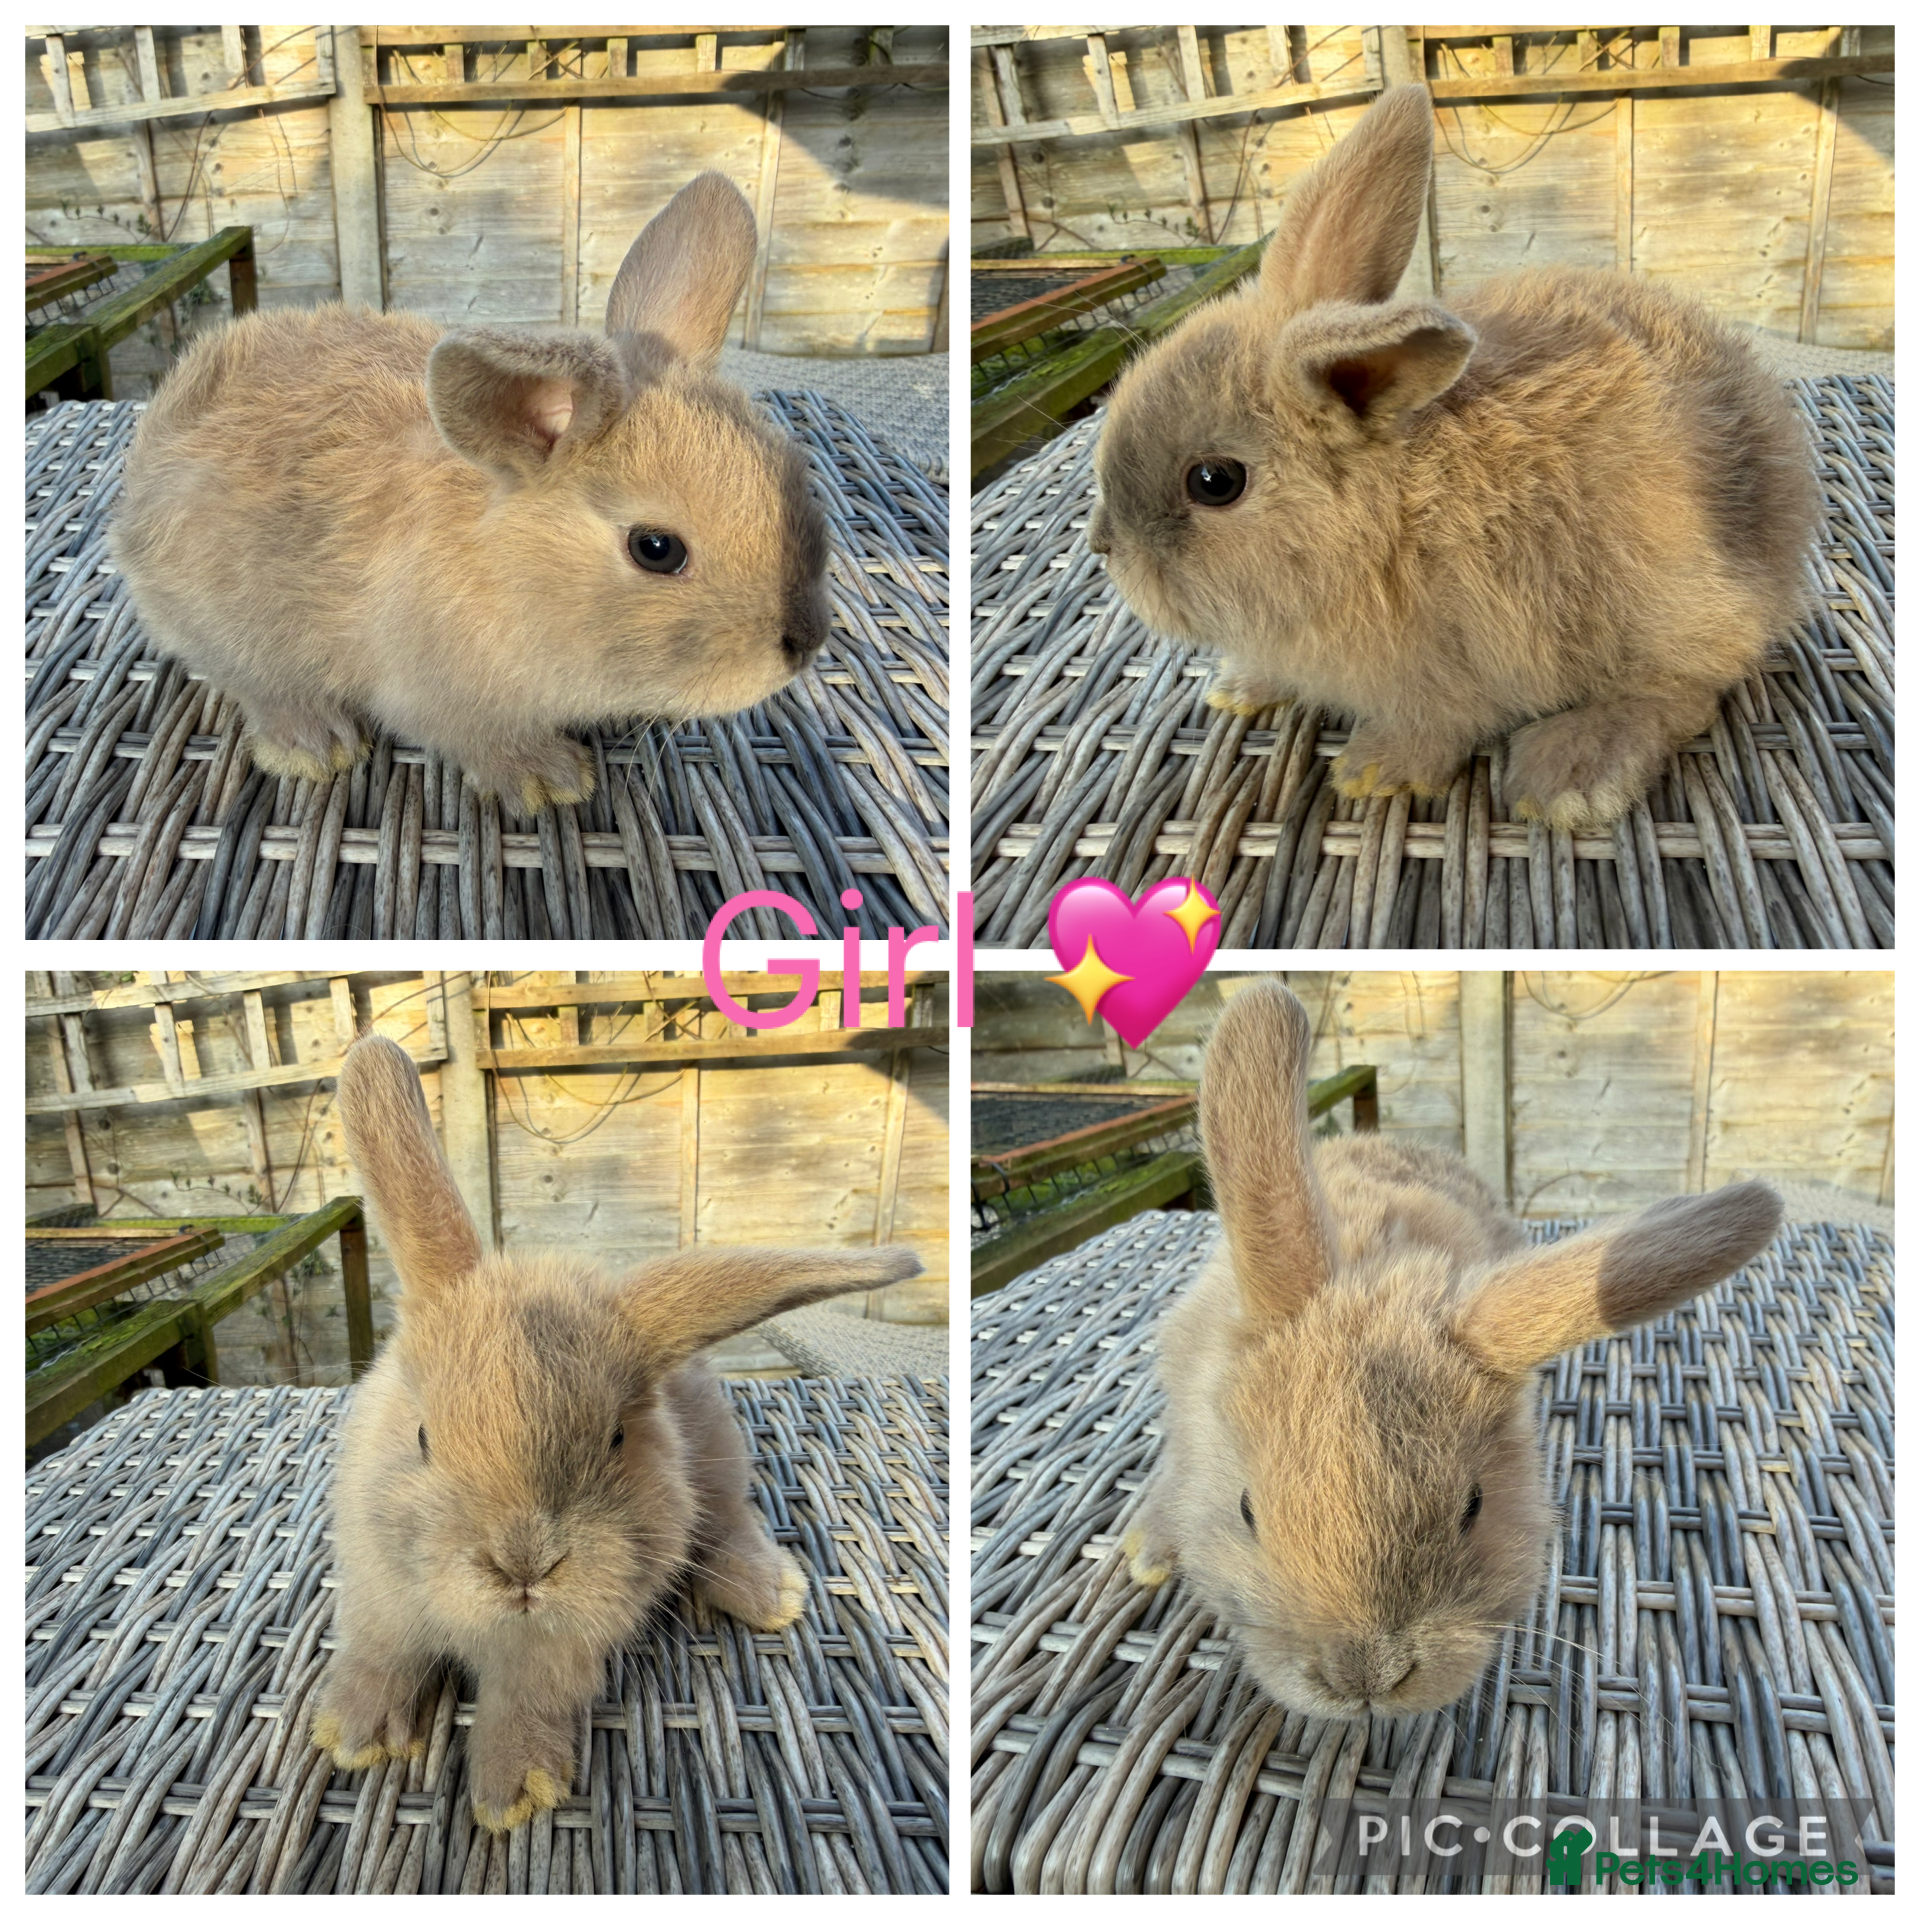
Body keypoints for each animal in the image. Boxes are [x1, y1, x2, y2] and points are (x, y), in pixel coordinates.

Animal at [109, 171, 830, 815]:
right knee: (250, 681)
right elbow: (483, 740)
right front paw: (550, 780)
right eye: (656, 549)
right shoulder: (442, 698)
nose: (805, 644)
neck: (507, 566)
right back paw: (313, 746)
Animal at [312, 1034, 922, 1830]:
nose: (524, 1566)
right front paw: (352, 1736)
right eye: (420, 1438)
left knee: (729, 1522)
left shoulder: (560, 1649)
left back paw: (772, 1596)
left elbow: (527, 1699)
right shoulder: (381, 1595)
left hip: (716, 1469)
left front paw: (513, 1794)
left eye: (615, 1441)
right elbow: (381, 1655)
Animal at [1087, 84, 1821, 832]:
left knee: (1685, 689)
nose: (1104, 548)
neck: (1385, 522)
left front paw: (1371, 772)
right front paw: (1240, 688)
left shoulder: (1455, 664)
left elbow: (1436, 726)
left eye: (1214, 481)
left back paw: (1567, 774)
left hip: (1670, 601)